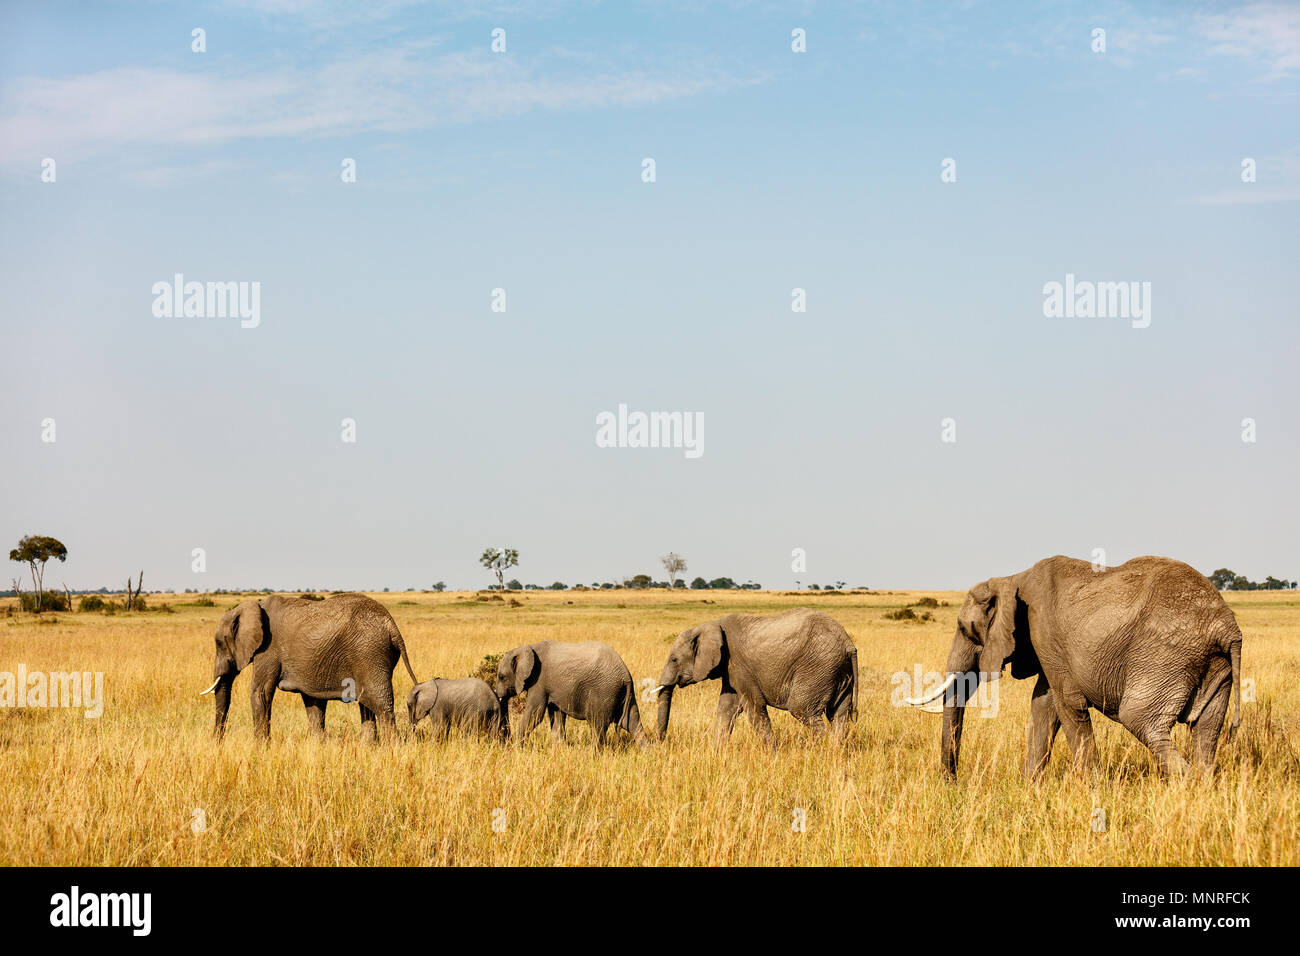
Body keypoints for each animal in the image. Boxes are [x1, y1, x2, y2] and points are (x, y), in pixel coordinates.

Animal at [198, 593, 419, 742]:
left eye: (219, 644)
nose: (217, 743)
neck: (254, 605)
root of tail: (391, 625)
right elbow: (313, 703)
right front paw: (317, 746)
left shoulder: (268, 649)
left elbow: (260, 692)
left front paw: (260, 749)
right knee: (367, 704)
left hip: (369, 653)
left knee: (381, 705)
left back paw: (391, 749)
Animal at [494, 642, 646, 749]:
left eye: (501, 677)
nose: (505, 743)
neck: (526, 648)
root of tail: (625, 675)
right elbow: (556, 716)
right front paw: (560, 750)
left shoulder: (539, 681)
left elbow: (535, 713)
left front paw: (515, 748)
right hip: (624, 694)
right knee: (633, 723)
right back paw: (647, 754)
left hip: (604, 691)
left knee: (597, 726)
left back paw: (593, 757)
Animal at [654, 608, 858, 747]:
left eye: (674, 659)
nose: (661, 742)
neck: (710, 624)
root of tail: (848, 644)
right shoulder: (730, 669)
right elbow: (727, 707)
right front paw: (717, 753)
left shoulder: (739, 664)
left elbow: (753, 706)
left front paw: (772, 756)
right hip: (838, 671)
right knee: (838, 714)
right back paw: (836, 750)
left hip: (818, 667)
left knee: (803, 710)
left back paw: (821, 751)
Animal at [905, 555, 1243, 779]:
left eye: (964, 629)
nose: (952, 783)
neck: (1012, 579)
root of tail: (1226, 627)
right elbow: (1043, 704)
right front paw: (1030, 787)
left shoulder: (1043, 628)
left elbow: (1066, 703)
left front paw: (1092, 789)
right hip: (1214, 664)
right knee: (1207, 730)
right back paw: (1203, 787)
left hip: (1164, 656)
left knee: (1142, 720)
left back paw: (1185, 785)